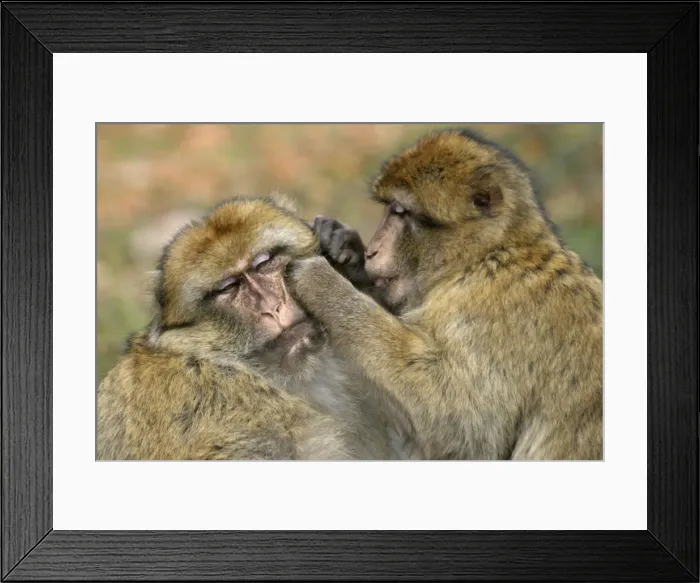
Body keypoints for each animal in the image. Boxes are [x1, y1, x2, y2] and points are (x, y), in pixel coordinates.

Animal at [291, 129, 603, 460]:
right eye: (389, 209)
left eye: (399, 212)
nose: (373, 250)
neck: (482, 258)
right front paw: (343, 248)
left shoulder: (486, 314)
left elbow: (463, 431)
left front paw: (321, 280)